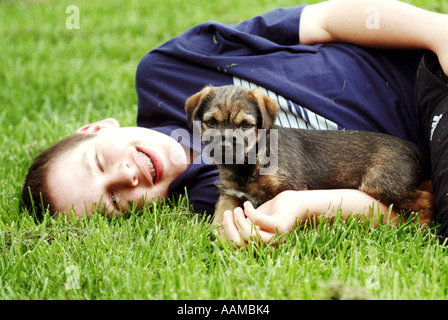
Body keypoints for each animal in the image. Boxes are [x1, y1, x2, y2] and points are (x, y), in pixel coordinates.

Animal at [185, 84, 434, 225]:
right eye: (211, 122)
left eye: (245, 125)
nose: (224, 146)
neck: (248, 164)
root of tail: (413, 148)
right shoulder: (229, 197)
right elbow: (218, 224)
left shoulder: (290, 188)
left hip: (382, 183)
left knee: (426, 199)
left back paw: (422, 230)